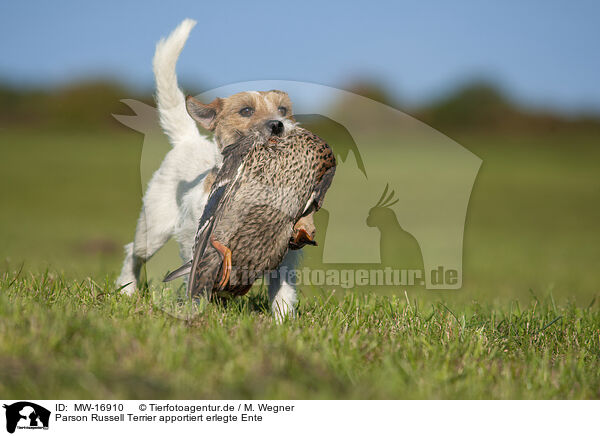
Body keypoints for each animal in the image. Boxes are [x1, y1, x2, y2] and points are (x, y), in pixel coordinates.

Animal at [116, 18, 308, 318]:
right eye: (245, 111)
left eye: (283, 110)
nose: (279, 125)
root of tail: (189, 140)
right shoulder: (196, 241)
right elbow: (195, 276)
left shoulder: (285, 255)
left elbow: (283, 293)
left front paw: (282, 322)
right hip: (153, 229)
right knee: (132, 253)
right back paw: (127, 289)